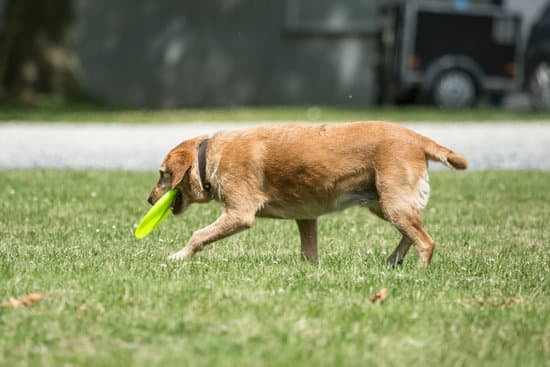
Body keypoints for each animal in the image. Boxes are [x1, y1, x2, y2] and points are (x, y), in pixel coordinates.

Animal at [149, 122, 468, 266]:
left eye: (162, 174)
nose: (149, 200)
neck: (208, 157)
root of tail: (418, 138)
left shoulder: (240, 213)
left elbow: (198, 235)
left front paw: (178, 256)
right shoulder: (306, 217)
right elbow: (309, 250)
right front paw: (309, 270)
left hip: (393, 203)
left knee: (426, 241)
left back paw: (419, 271)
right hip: (382, 203)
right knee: (411, 233)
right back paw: (394, 261)